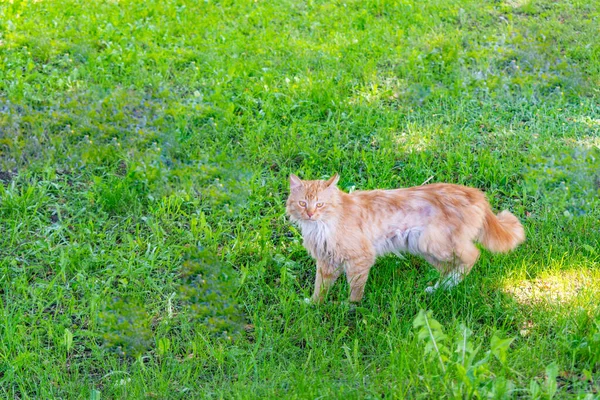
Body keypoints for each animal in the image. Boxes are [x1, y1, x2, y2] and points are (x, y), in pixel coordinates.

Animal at [286, 173, 524, 302]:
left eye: (319, 204)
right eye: (302, 203)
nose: (310, 214)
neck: (320, 228)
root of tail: (475, 193)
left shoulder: (360, 258)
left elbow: (355, 287)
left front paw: (350, 306)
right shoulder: (326, 262)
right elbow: (320, 287)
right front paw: (314, 303)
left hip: (435, 243)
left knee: (473, 255)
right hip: (425, 248)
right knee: (450, 268)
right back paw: (440, 288)